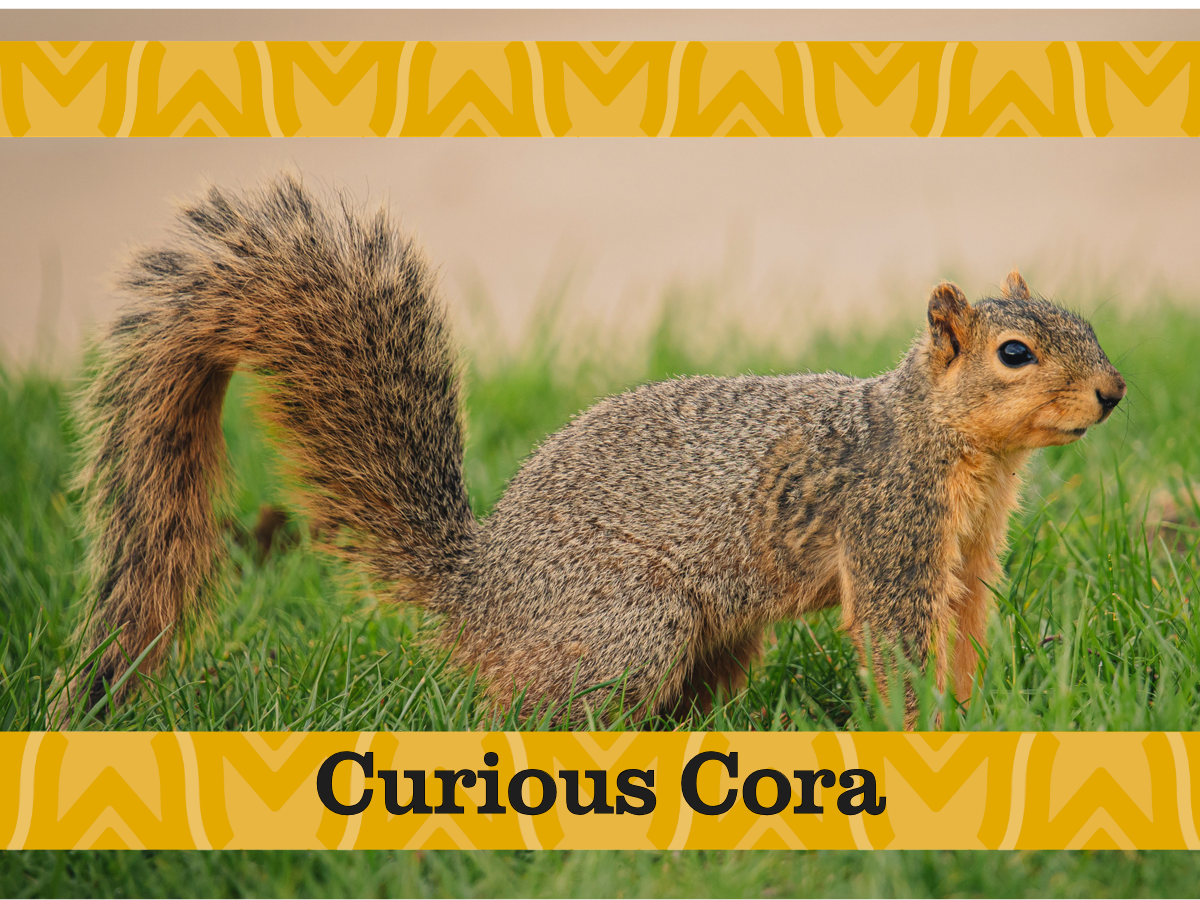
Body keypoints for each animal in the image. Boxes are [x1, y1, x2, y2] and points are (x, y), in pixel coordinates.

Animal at [58, 174, 1126, 726]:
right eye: (1015, 353)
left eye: (1082, 321)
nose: (1113, 394)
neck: (946, 442)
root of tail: (482, 596)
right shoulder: (889, 525)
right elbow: (901, 641)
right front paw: (929, 733)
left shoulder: (968, 550)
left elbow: (963, 631)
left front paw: (983, 715)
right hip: (628, 626)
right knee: (534, 720)